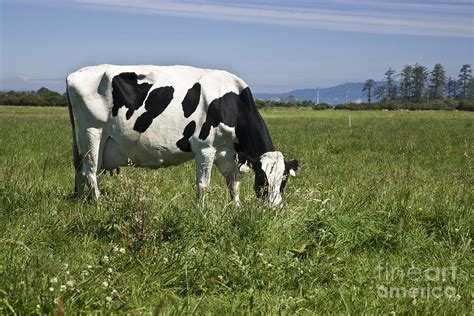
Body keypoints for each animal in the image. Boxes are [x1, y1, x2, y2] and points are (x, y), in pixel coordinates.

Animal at [66, 65, 298, 206]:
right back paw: (99, 205)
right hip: (92, 132)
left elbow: (234, 183)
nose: (274, 208)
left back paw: (81, 203)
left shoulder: (228, 153)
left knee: (82, 171)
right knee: (90, 173)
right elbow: (203, 185)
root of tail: (74, 74)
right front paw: (202, 214)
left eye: (284, 180)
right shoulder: (205, 148)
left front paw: (237, 209)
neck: (231, 103)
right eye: (263, 178)